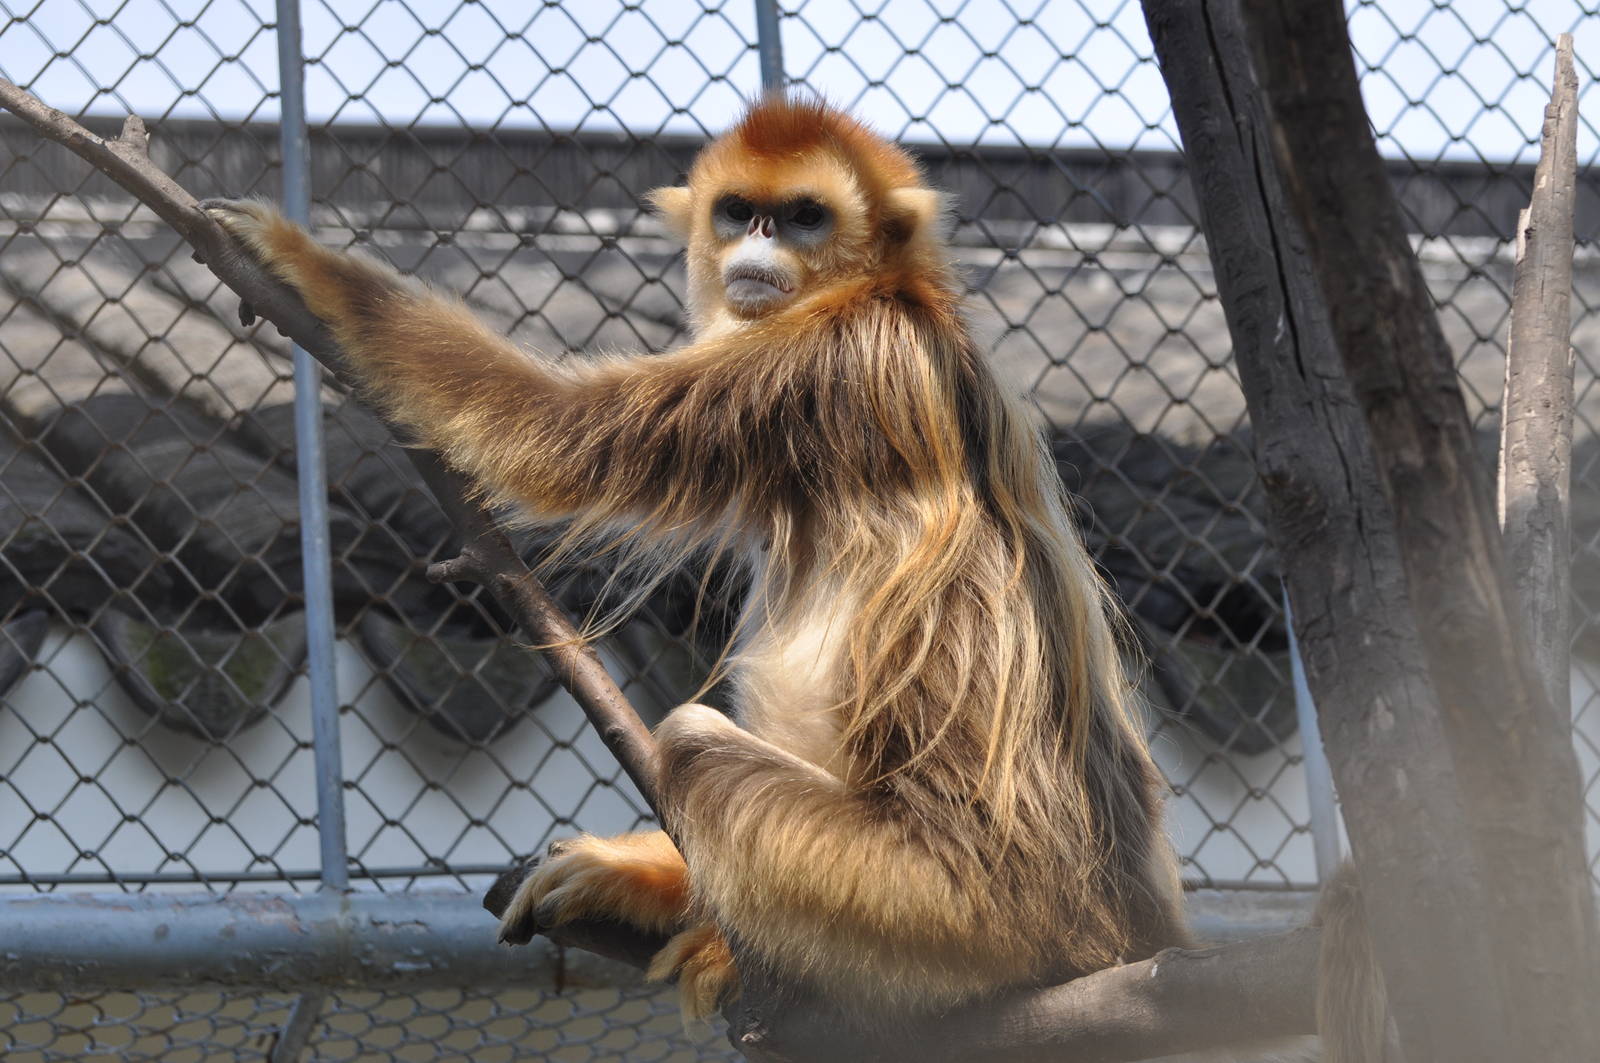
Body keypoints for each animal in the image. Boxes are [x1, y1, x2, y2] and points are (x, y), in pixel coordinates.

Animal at [204, 96, 1190, 1020]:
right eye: (739, 210)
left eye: (804, 217)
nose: (758, 244)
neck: (887, 295)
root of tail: (1120, 929)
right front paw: (638, 877)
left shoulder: (812, 364)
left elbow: (550, 433)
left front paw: (300, 260)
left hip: (954, 909)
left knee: (692, 745)